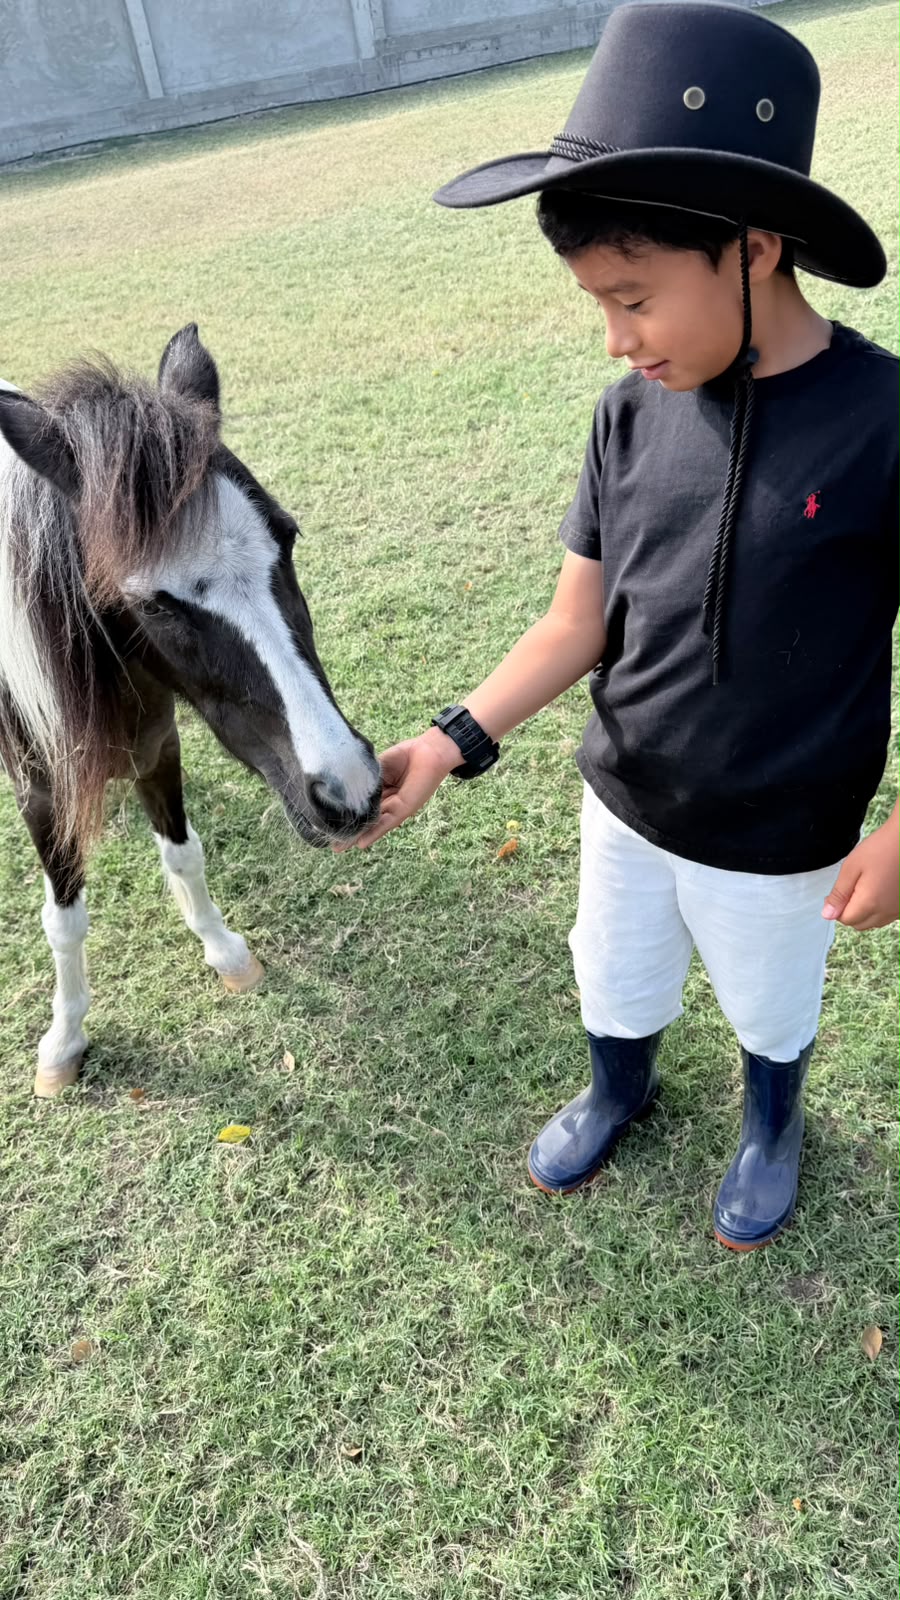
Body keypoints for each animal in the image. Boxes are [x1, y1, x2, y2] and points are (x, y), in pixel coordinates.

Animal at [0, 325, 382, 1098]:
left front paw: (225, 951)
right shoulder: (42, 793)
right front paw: (64, 1041)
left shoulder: (158, 748)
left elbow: (183, 853)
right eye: (154, 604)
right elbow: (64, 918)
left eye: (289, 536)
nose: (349, 791)